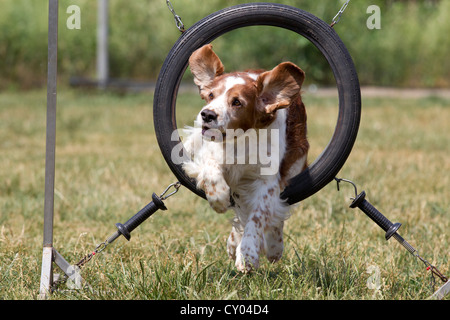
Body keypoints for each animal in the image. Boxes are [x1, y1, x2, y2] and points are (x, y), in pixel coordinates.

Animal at [181, 43, 308, 272]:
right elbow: (212, 170)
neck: (241, 140)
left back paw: (273, 247)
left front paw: (247, 254)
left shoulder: (267, 181)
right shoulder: (210, 151)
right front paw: (219, 199)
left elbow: (257, 216)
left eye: (237, 102)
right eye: (211, 95)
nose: (207, 115)